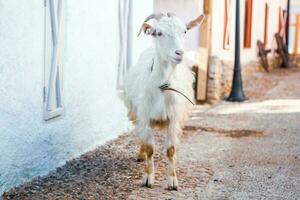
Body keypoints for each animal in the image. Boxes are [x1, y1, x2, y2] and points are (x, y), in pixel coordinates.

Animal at [123, 12, 205, 191]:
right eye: (158, 33)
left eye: (185, 31)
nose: (179, 53)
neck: (162, 86)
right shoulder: (145, 117)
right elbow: (150, 148)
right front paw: (148, 178)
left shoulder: (173, 119)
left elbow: (171, 150)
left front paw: (172, 181)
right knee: (141, 136)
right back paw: (140, 155)